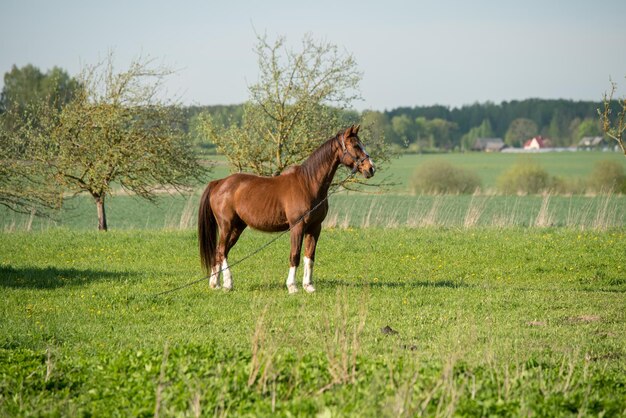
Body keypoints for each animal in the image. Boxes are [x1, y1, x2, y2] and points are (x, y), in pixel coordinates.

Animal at [199, 125, 376, 292]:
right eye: (355, 145)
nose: (371, 168)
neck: (308, 184)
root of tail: (219, 183)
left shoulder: (315, 227)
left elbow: (309, 256)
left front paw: (308, 286)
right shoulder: (297, 226)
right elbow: (295, 255)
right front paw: (292, 287)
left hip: (237, 227)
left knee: (219, 252)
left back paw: (215, 284)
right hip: (226, 226)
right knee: (222, 251)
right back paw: (228, 284)